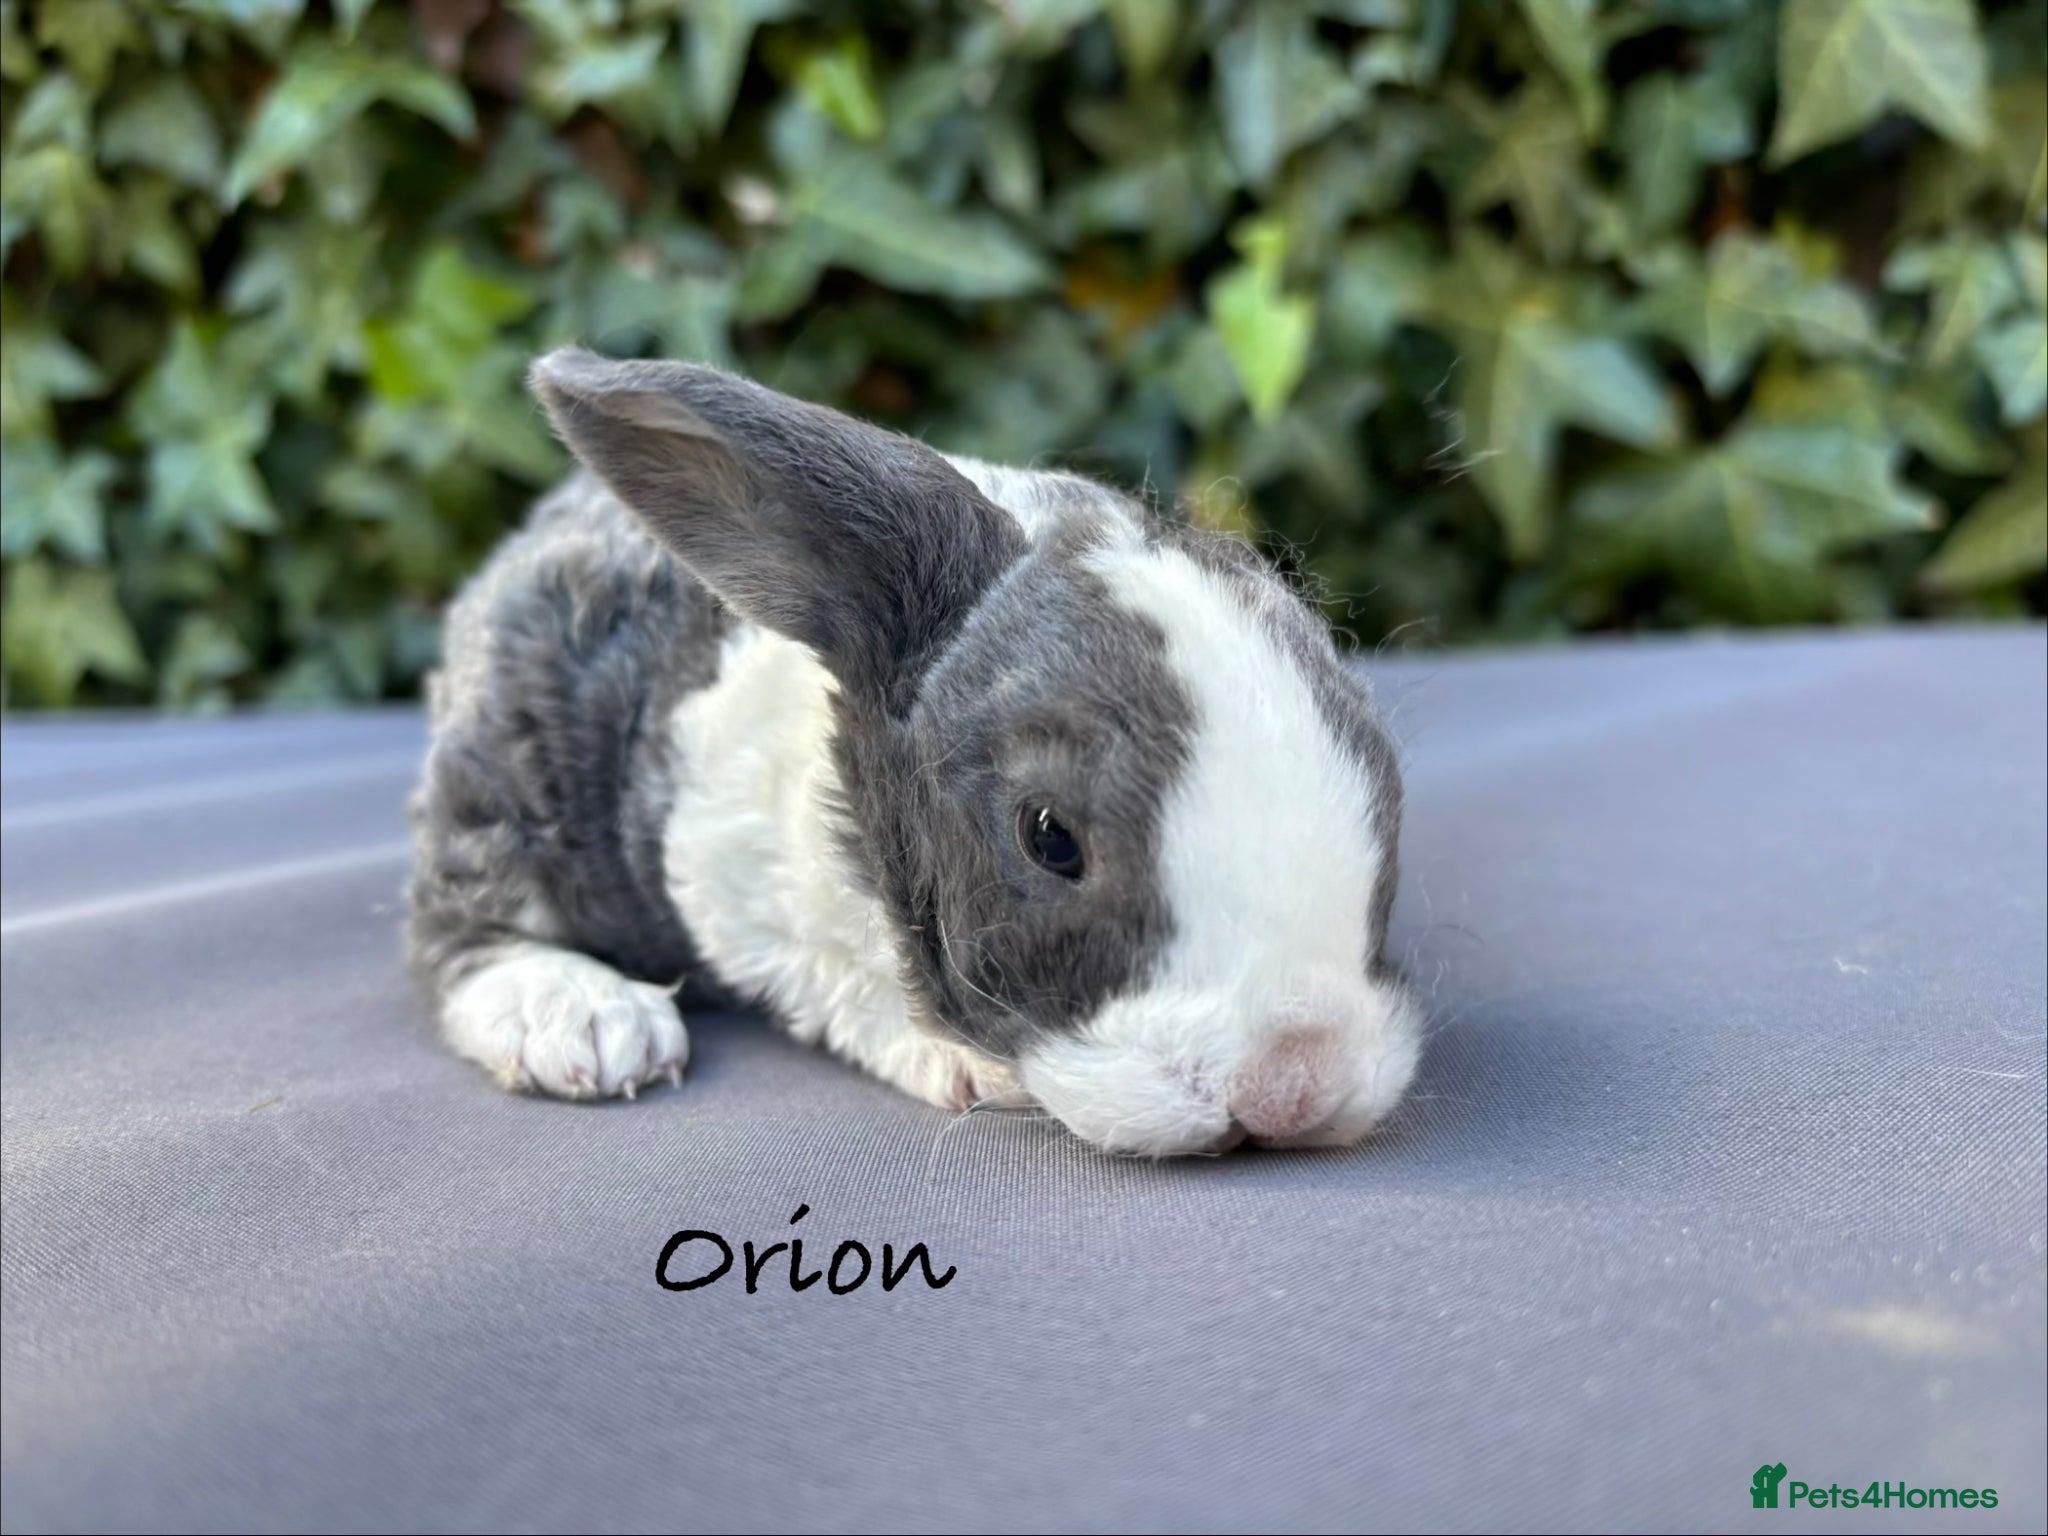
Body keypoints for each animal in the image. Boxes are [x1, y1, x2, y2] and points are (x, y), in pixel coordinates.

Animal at [404, 347, 1421, 1157]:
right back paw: (583, 1019)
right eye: (1048, 837)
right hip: (504, 780)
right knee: (453, 925)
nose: (1290, 1084)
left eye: (1385, 777)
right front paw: (974, 1070)